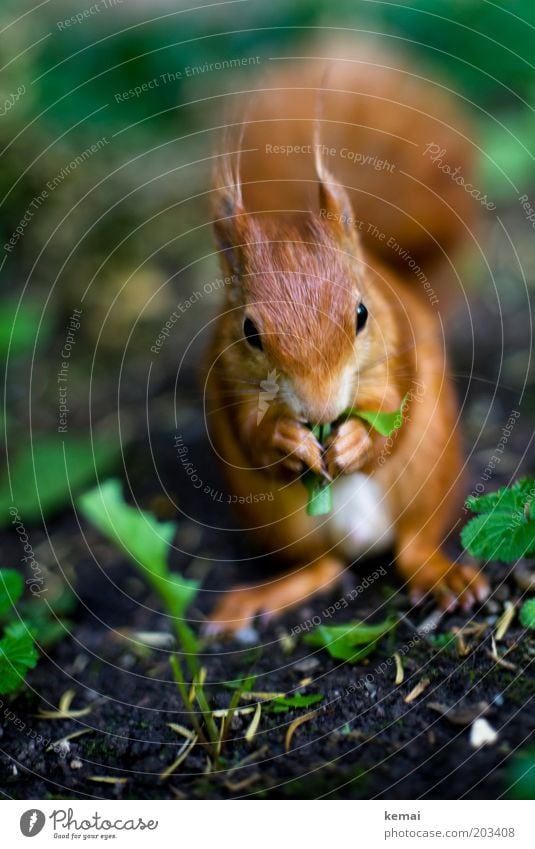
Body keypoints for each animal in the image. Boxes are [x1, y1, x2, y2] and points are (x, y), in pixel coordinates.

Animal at [204, 43, 490, 632]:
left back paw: (443, 576)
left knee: (415, 544)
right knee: (325, 570)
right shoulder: (227, 378)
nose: (321, 410)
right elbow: (251, 432)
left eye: (361, 312)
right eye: (249, 332)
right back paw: (263, 596)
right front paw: (287, 438)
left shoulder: (399, 345)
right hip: (281, 520)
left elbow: (394, 412)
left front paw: (356, 439)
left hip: (429, 477)